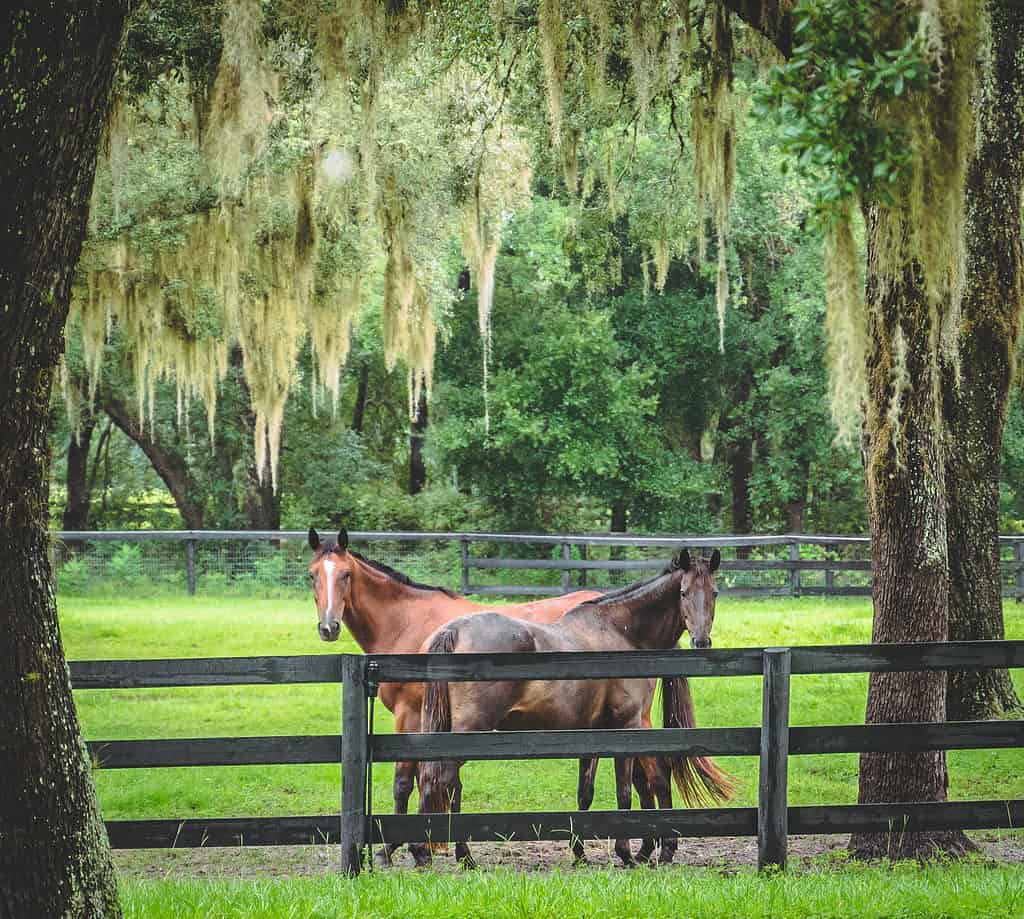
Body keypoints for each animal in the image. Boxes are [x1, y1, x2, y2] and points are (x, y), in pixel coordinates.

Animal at [307, 528, 712, 864]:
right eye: (313, 575)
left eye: (345, 575)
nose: (328, 627)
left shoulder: (411, 716)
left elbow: (408, 782)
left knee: (655, 774)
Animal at [417, 549, 737, 872]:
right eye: (683, 592)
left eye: (714, 592)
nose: (701, 641)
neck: (624, 633)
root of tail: (454, 631)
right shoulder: (627, 728)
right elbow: (625, 792)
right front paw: (626, 854)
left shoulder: (591, 734)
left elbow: (586, 794)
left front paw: (581, 854)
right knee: (439, 778)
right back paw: (429, 851)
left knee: (443, 781)